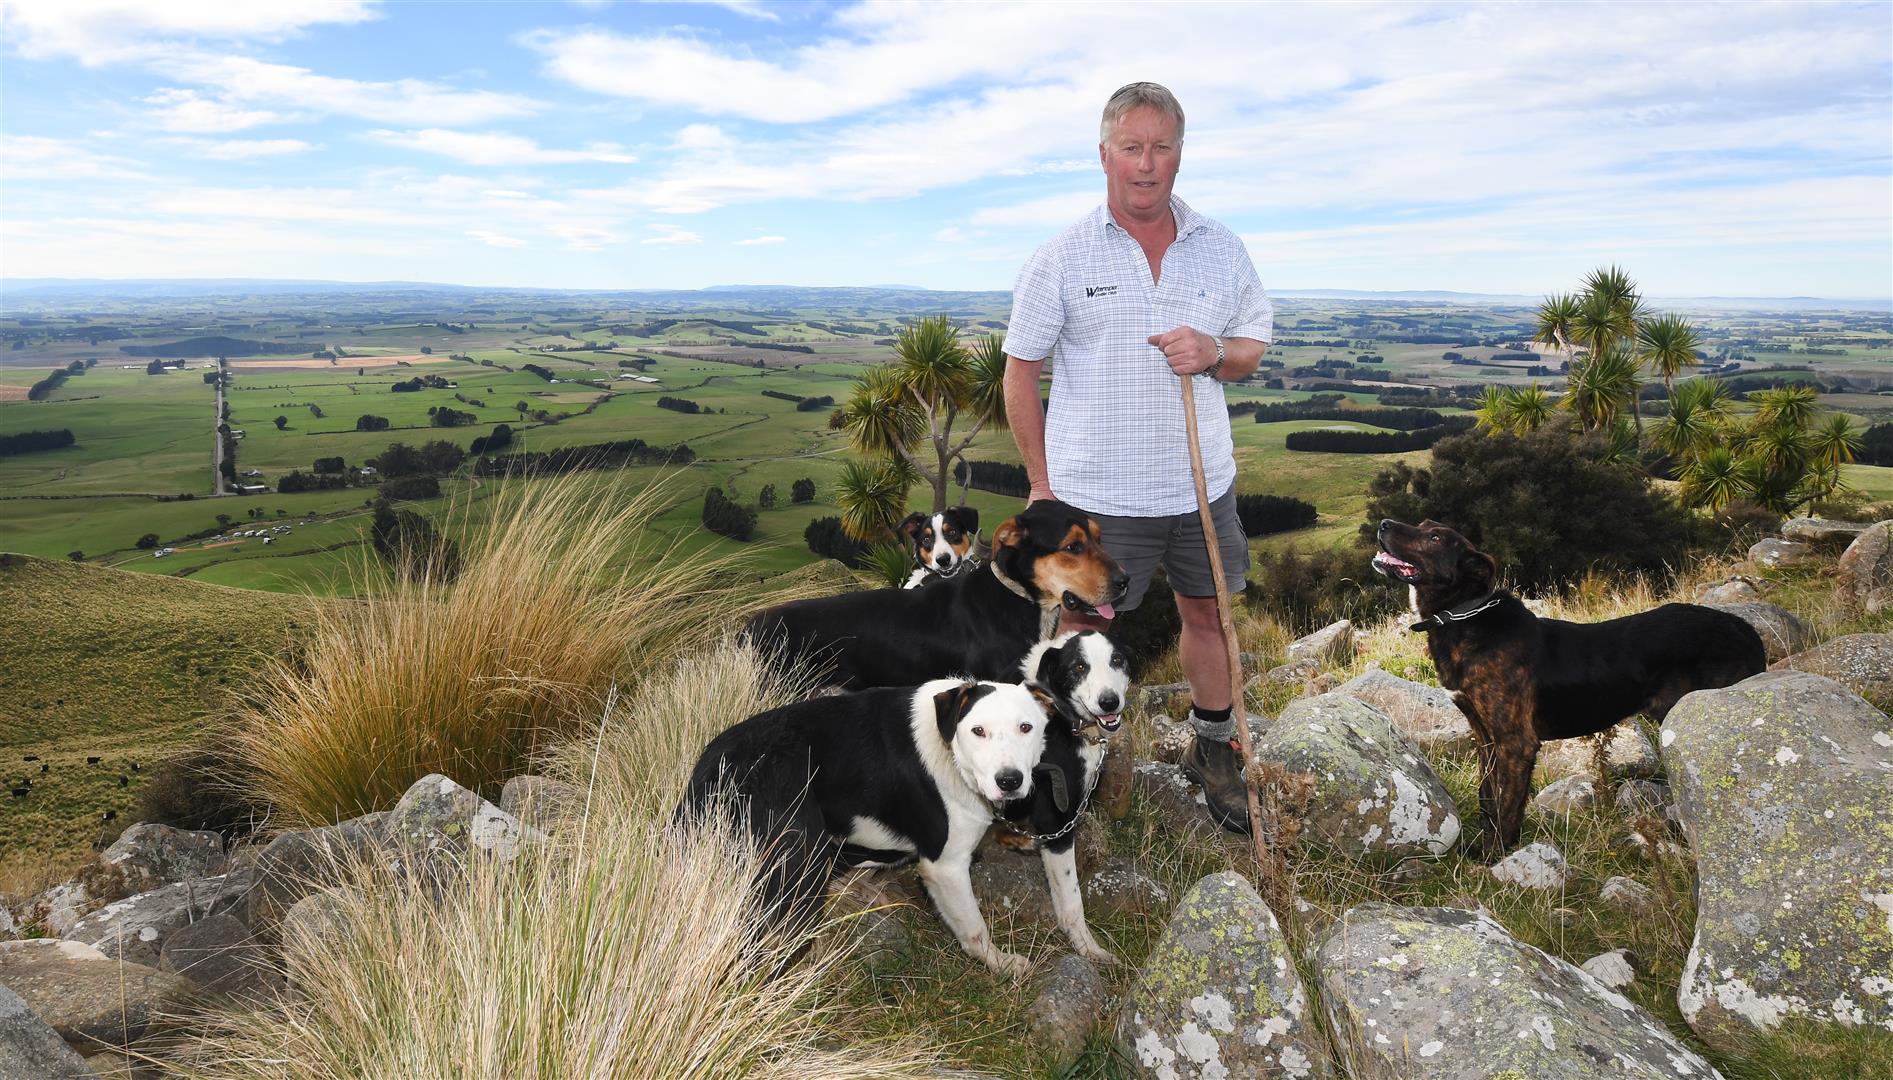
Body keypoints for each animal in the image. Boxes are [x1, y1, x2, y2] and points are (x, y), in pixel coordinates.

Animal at [681, 680, 1060, 975]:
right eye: (978, 731)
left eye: (1026, 728)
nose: (1009, 780)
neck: (949, 746)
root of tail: (710, 772)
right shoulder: (946, 867)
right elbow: (974, 930)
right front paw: (1001, 964)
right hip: (800, 862)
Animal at [1378, 518, 1756, 858]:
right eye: (1424, 524)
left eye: (1434, 537)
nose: (1383, 523)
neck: (1465, 617)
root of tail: (1744, 629)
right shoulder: (1485, 738)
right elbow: (1488, 800)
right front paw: (1487, 849)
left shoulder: (1516, 742)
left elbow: (1506, 806)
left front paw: (1493, 860)